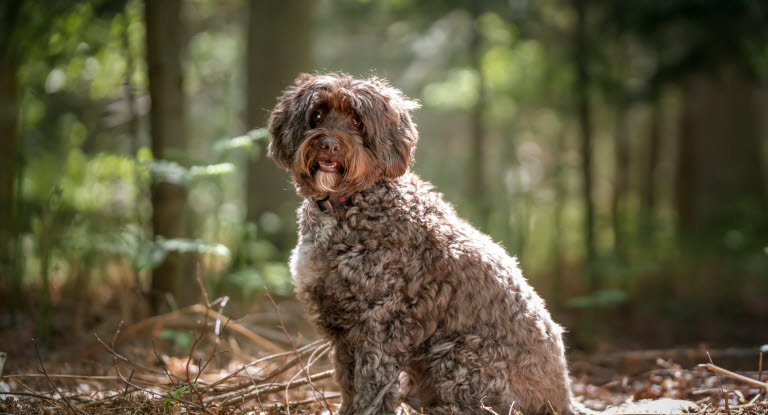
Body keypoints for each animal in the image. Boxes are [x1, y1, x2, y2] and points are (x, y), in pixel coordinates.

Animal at [268, 74, 580, 415]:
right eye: (317, 115)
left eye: (356, 120)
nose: (329, 144)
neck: (348, 203)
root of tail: (564, 398)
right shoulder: (342, 327)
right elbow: (348, 381)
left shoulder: (380, 324)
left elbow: (372, 384)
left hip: (460, 354)